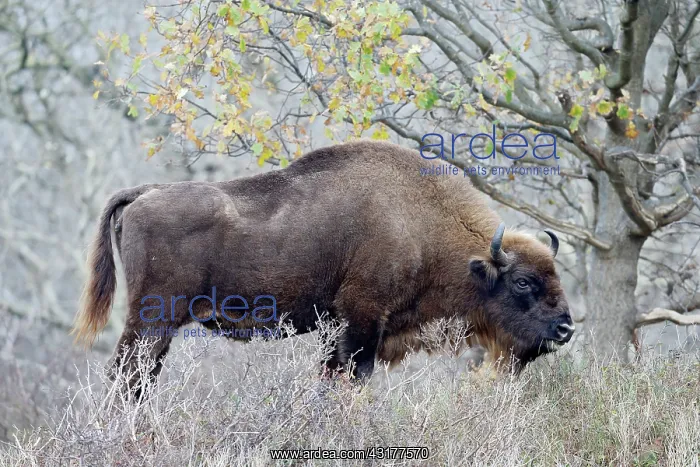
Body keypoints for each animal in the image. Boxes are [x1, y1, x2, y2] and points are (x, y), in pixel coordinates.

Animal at [73, 141, 574, 392]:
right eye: (523, 281)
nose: (566, 328)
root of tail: (144, 193)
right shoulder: (362, 320)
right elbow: (349, 378)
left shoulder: (343, 328)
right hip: (152, 320)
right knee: (129, 375)